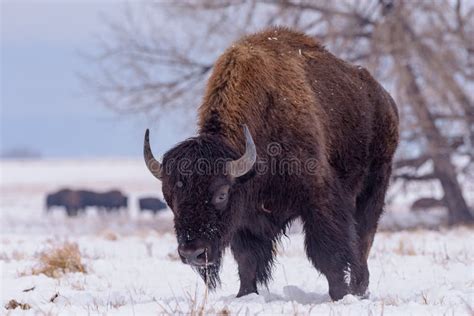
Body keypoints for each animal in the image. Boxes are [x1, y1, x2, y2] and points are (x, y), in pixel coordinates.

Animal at [143, 27, 398, 302]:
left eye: (221, 194)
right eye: (170, 198)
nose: (193, 253)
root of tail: (385, 99)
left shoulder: (319, 201)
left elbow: (328, 256)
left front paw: (339, 296)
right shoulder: (246, 219)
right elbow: (247, 262)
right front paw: (245, 295)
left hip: (375, 182)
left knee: (363, 237)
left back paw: (359, 289)